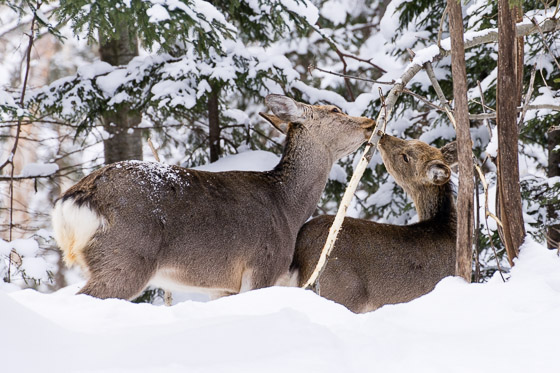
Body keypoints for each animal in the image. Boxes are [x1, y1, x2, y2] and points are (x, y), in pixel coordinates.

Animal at [53, 93, 376, 300]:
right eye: (335, 111)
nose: (370, 122)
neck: (288, 208)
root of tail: (72, 201)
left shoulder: (221, 285)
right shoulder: (262, 266)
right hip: (126, 254)